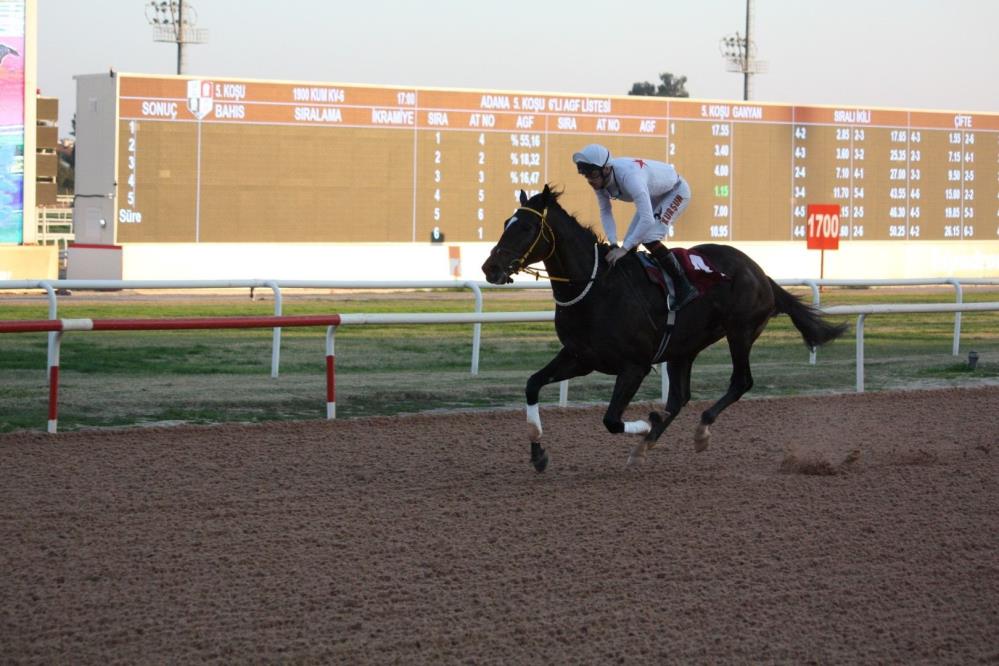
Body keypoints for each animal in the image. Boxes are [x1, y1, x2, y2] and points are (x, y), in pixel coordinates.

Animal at [480, 184, 848, 470]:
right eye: (506, 222)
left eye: (526, 228)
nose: (490, 268)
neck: (596, 288)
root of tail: (760, 272)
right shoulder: (580, 357)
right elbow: (532, 384)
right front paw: (538, 453)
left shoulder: (635, 365)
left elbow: (612, 420)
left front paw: (648, 424)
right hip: (683, 347)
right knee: (680, 396)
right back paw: (645, 447)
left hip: (740, 331)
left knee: (740, 381)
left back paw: (698, 432)